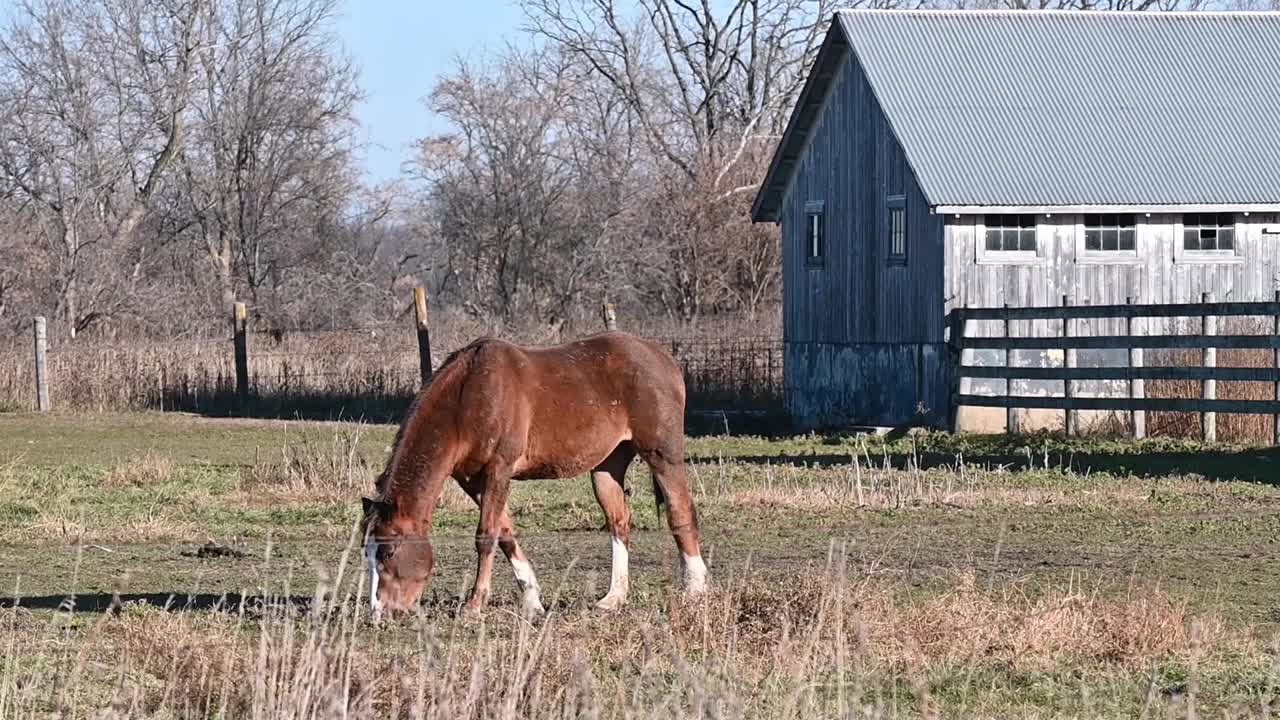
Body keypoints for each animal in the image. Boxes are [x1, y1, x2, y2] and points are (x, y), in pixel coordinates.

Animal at [360, 327, 711, 614]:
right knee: (619, 522)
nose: (380, 613)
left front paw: (474, 605)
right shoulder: (472, 480)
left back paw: (695, 590)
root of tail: (662, 358)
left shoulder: (498, 470)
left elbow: (485, 536)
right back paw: (613, 598)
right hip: (607, 467)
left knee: (680, 511)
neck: (468, 396)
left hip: (662, 454)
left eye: (388, 552)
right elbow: (505, 533)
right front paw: (532, 599)